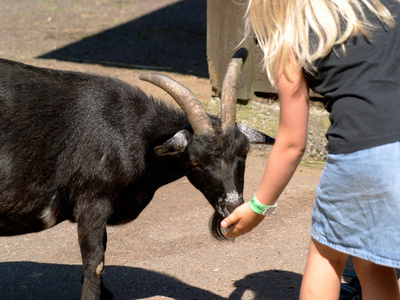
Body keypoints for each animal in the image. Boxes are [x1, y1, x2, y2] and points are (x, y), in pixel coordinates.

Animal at [0, 48, 276, 298]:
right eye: (195, 161)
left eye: (245, 152)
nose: (233, 208)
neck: (133, 134)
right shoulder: (92, 201)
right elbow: (95, 264)